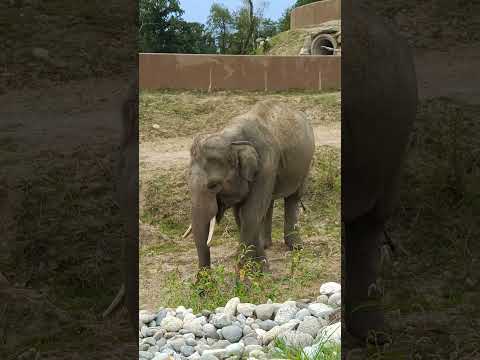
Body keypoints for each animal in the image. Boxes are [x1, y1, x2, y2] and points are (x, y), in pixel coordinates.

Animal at [186, 100, 316, 268]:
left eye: (213, 185)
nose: (205, 276)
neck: (232, 140)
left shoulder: (267, 166)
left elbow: (250, 213)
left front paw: (253, 269)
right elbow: (240, 215)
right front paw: (258, 264)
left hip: (305, 164)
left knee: (293, 198)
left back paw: (295, 246)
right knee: (268, 203)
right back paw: (266, 244)